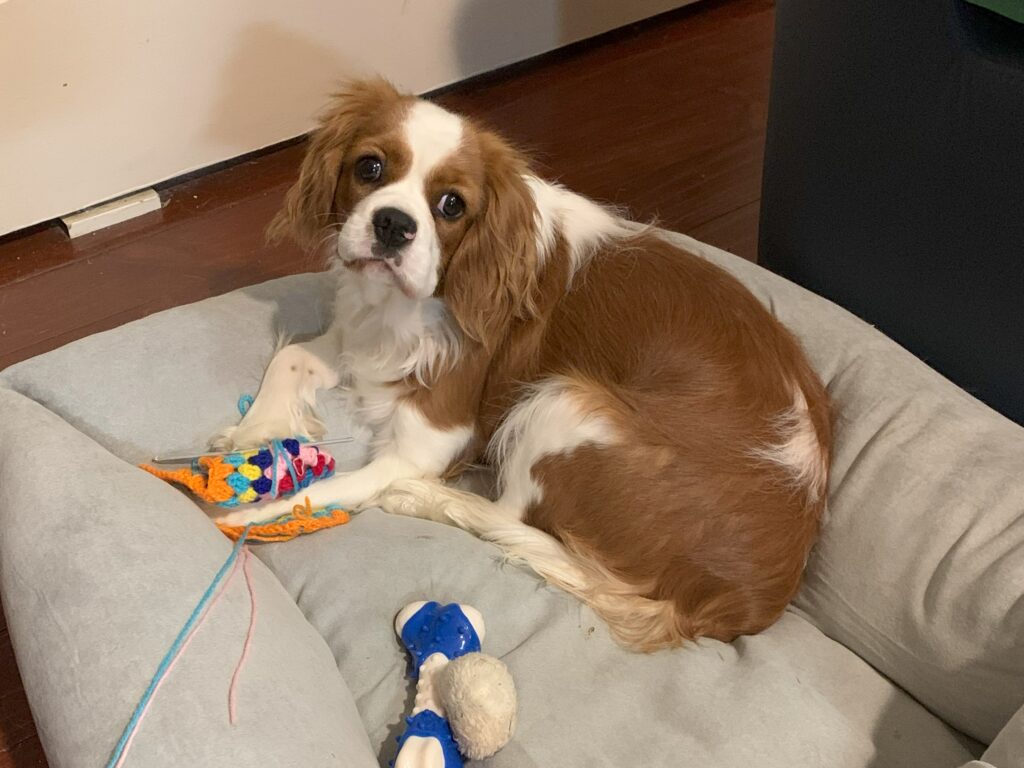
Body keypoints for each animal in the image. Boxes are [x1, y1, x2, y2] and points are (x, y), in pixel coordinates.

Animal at [216, 78, 831, 651]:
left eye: (452, 205)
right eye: (369, 167)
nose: (392, 223)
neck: (403, 305)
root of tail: (746, 603)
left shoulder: (431, 441)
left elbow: (324, 491)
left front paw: (249, 517)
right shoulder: (355, 342)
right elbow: (291, 357)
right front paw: (252, 435)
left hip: (564, 403)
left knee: (507, 516)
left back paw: (425, 498)